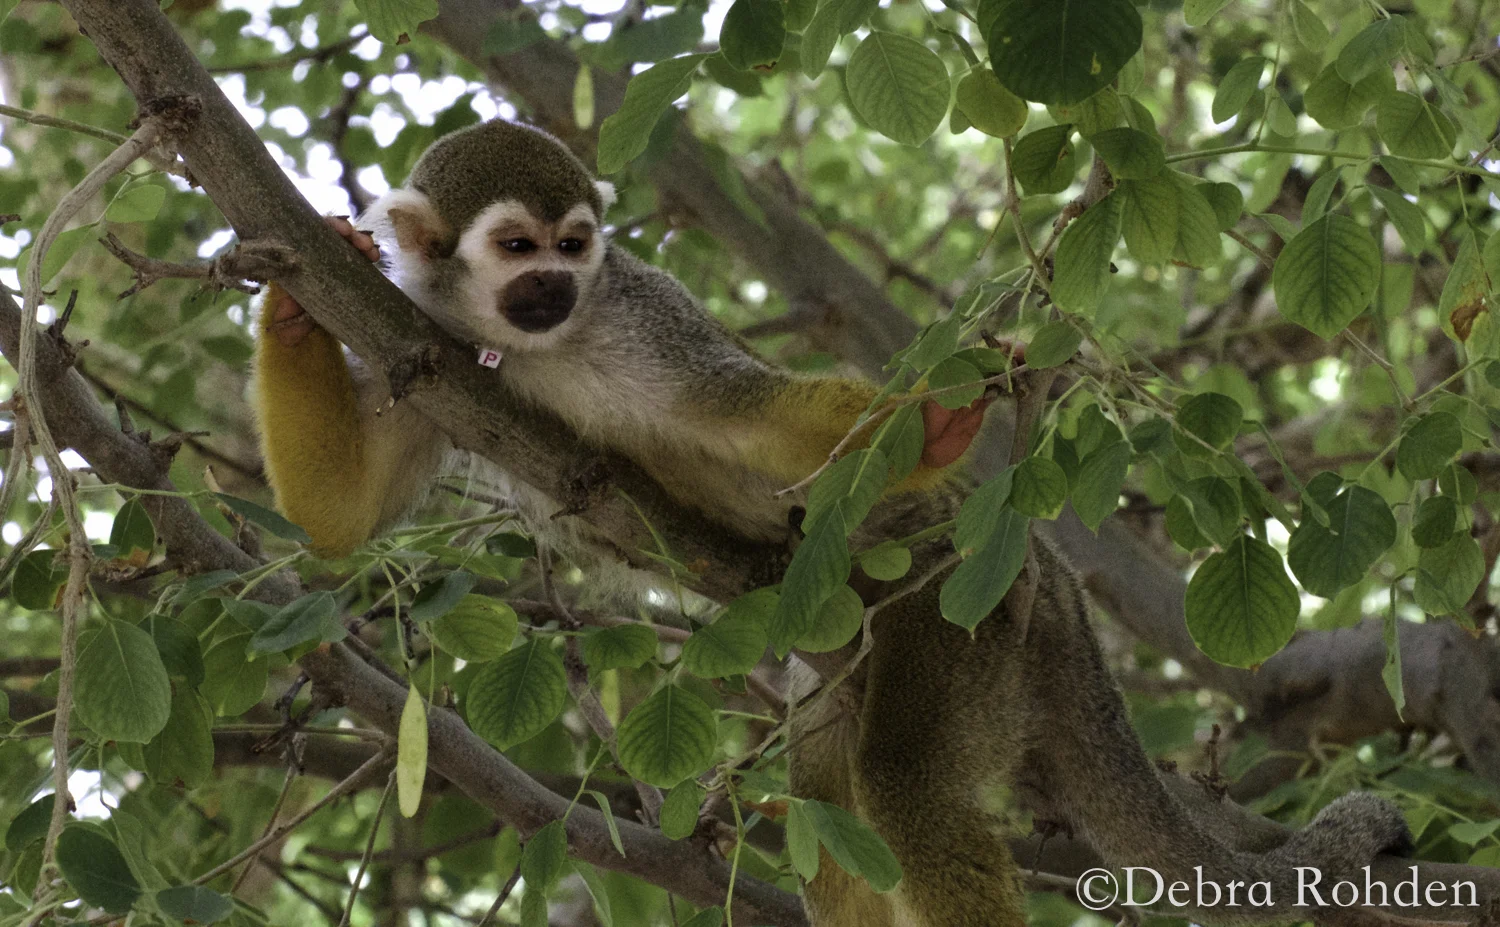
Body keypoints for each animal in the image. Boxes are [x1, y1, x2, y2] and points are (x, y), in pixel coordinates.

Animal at [253, 119, 1412, 927]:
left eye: (574, 245)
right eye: (515, 245)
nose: (553, 283)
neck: (534, 346)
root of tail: (1046, 571)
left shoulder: (637, 314)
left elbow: (752, 415)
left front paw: (937, 421)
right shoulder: (420, 345)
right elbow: (340, 519)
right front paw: (294, 303)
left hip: (959, 606)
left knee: (900, 781)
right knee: (833, 793)